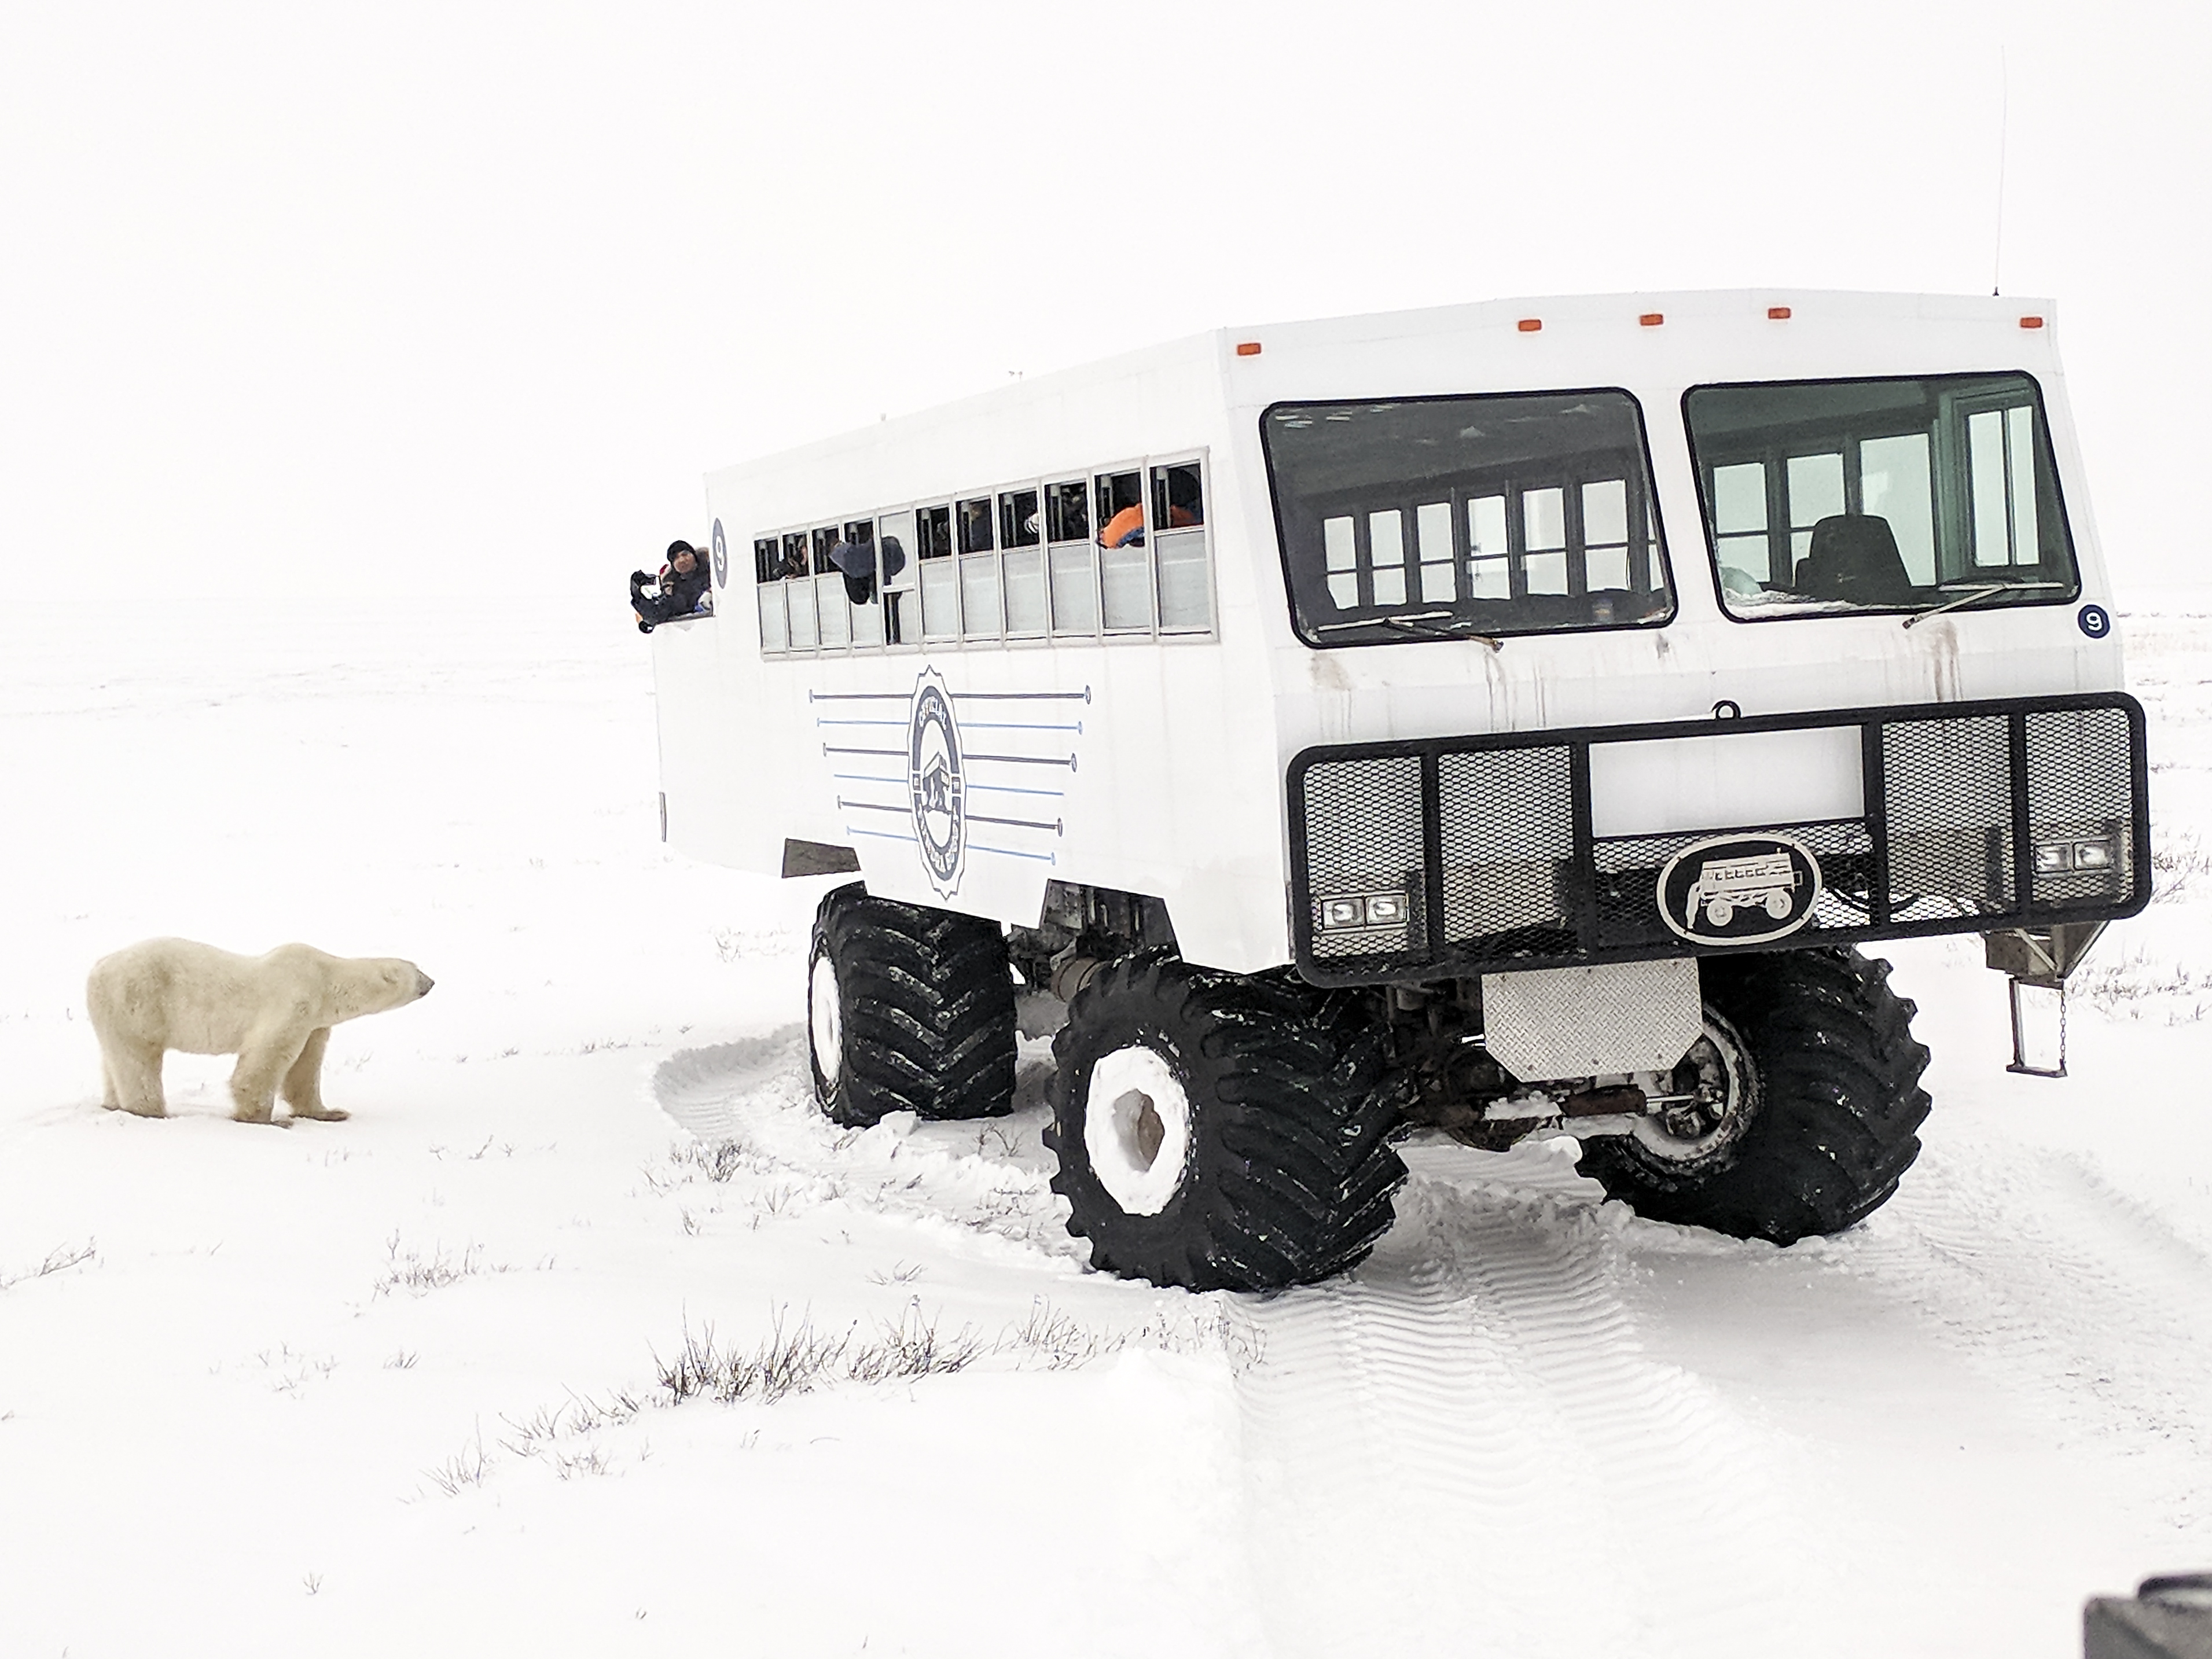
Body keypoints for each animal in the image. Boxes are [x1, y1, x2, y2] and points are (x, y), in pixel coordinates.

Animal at [86, 939, 434, 1124]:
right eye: (417, 971)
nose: (431, 982)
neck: (326, 979)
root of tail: (96, 969)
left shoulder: (315, 1022)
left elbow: (305, 1069)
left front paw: (330, 1112)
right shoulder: (293, 1000)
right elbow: (264, 1061)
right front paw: (268, 1119)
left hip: (114, 1015)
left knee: (113, 1061)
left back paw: (113, 1104)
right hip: (138, 1004)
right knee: (138, 1062)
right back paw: (152, 1112)